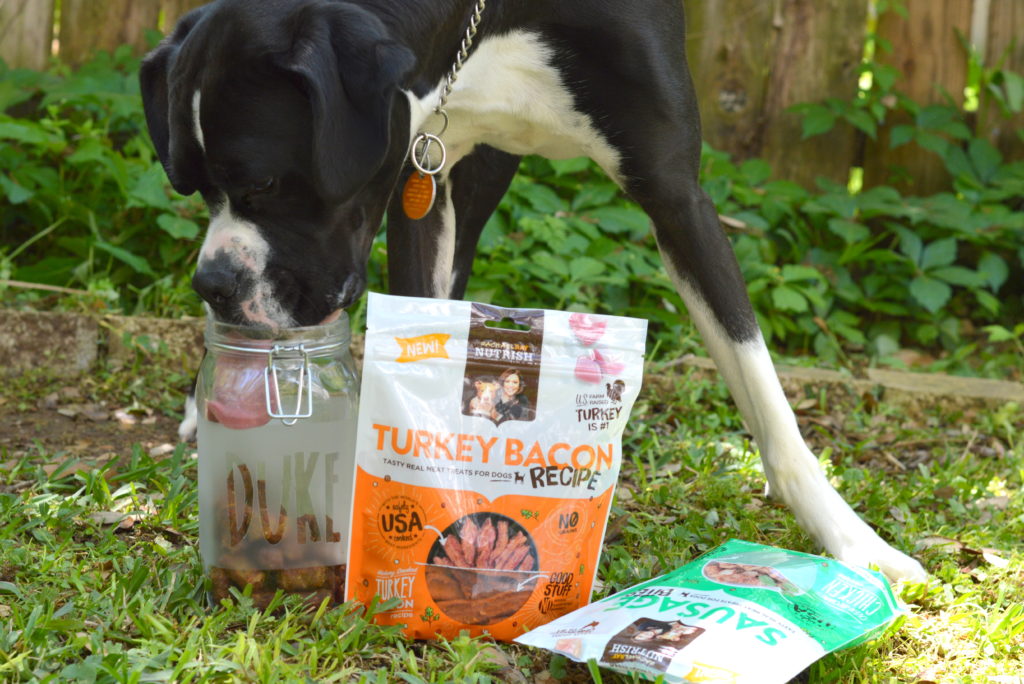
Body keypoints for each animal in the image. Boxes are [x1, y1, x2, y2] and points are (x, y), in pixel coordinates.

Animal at [138, 0, 929, 581]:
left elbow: (763, 390)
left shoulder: (678, 197)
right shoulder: (418, 178)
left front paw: (854, 542)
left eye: (266, 183)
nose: (212, 284)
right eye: (191, 186)